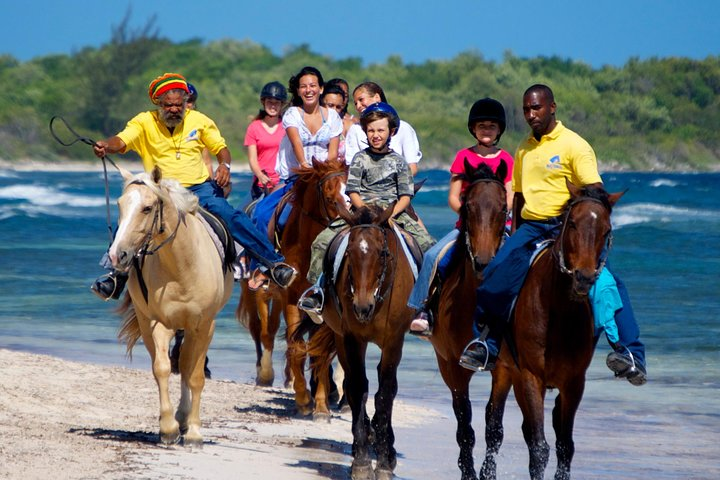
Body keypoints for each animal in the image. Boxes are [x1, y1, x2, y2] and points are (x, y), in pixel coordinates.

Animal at [112, 166, 233, 446]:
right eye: (120, 205)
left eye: (147, 208)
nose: (117, 255)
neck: (182, 265)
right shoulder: (158, 323)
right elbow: (162, 368)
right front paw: (168, 428)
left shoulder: (204, 325)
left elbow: (195, 375)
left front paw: (195, 432)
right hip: (149, 322)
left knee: (188, 364)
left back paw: (186, 419)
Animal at [235, 157, 348, 416]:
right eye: (330, 198)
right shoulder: (289, 297)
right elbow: (293, 344)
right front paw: (304, 401)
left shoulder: (320, 304)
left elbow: (318, 350)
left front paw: (321, 405)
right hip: (258, 291)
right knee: (261, 329)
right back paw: (266, 373)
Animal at [320, 203, 416, 480]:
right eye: (349, 252)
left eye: (382, 253)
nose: (362, 307)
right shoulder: (352, 339)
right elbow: (357, 388)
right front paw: (362, 461)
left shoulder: (394, 341)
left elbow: (385, 394)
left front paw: (383, 462)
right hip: (341, 339)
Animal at [428, 159, 512, 478]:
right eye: (467, 205)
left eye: (503, 208)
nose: (484, 262)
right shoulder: (454, 366)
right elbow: (465, 424)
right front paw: (469, 472)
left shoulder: (504, 369)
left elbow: (493, 427)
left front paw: (489, 473)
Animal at [478, 182, 624, 478]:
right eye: (573, 224)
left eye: (606, 230)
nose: (584, 278)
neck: (560, 313)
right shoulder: (530, 377)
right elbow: (538, 448)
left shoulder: (574, 382)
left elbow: (564, 445)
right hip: (505, 371)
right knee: (494, 425)